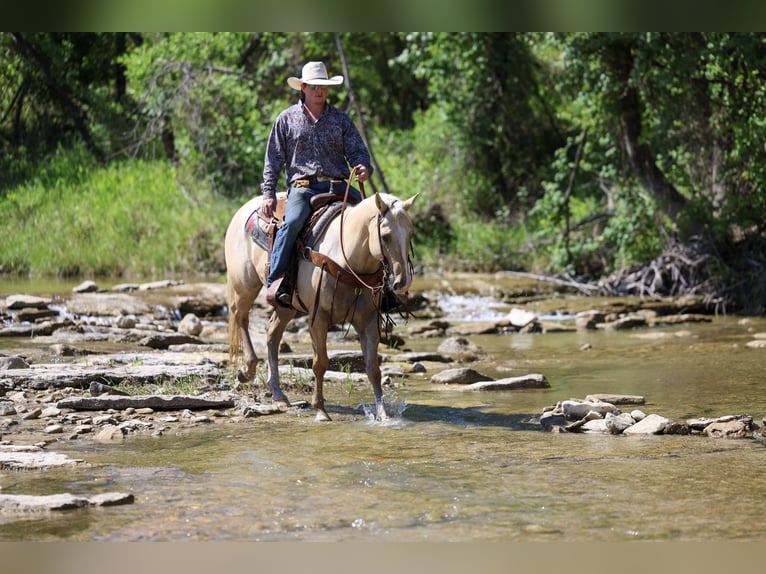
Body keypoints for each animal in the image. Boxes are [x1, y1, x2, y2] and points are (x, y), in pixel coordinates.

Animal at [225, 190, 418, 421]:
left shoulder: (368, 319)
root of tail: (241, 211)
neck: (347, 258)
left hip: (287, 304)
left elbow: (373, 368)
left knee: (272, 332)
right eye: (386, 235)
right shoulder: (318, 317)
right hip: (245, 285)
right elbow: (320, 363)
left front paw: (382, 414)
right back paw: (248, 370)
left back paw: (278, 394)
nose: (402, 282)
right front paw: (320, 410)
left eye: (410, 234)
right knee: (240, 317)